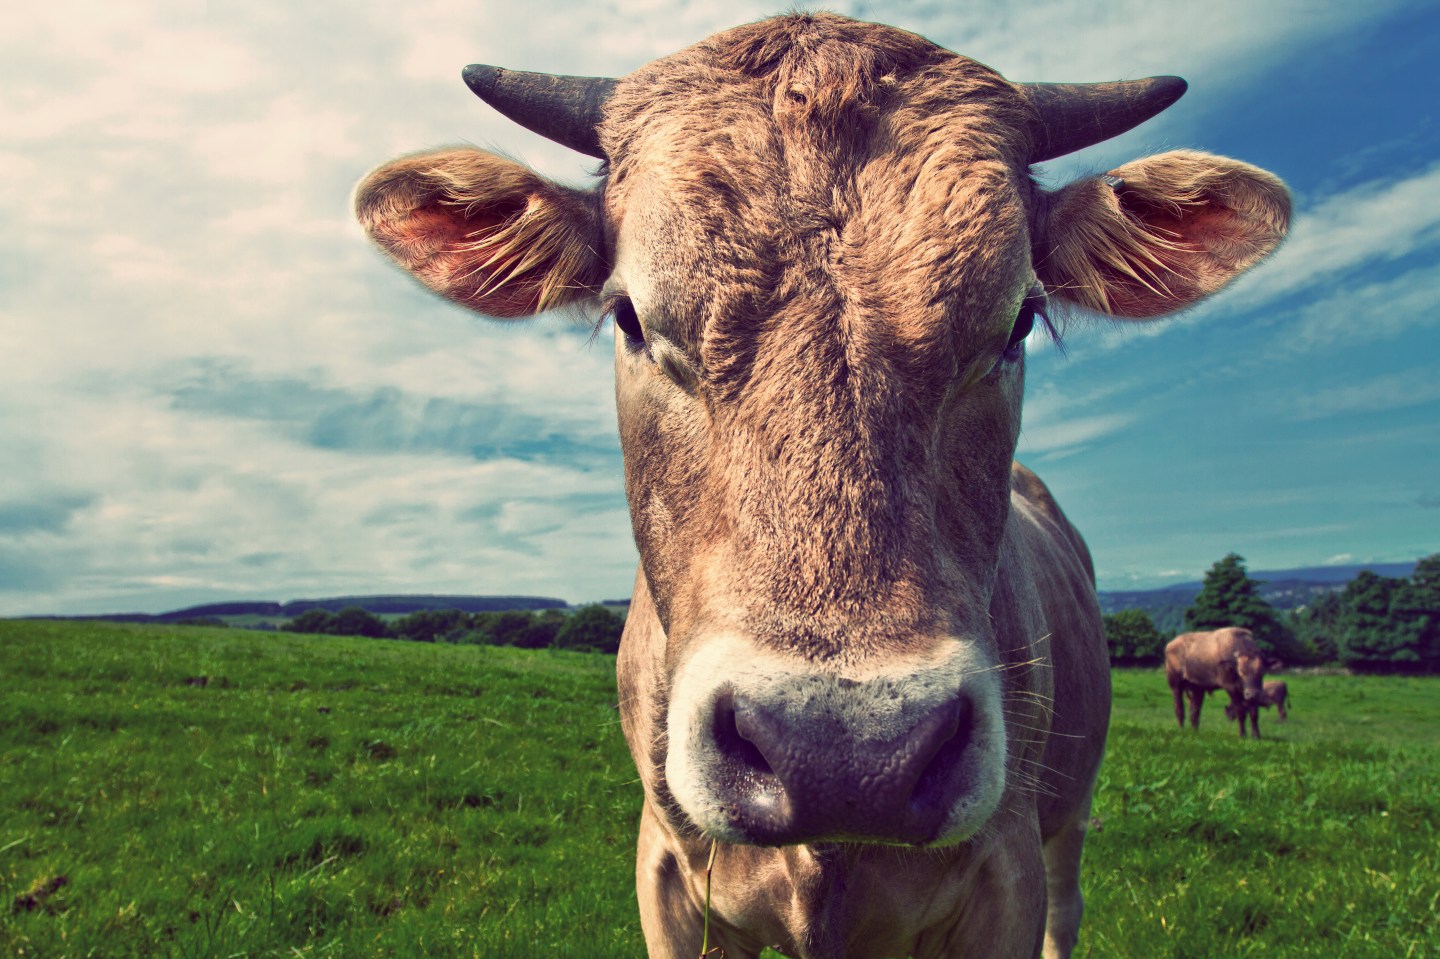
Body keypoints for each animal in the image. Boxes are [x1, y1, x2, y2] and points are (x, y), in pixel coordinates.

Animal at [354, 13, 1289, 958]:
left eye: (1019, 319)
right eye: (628, 316)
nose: (847, 754)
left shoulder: (1010, 873)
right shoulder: (668, 875)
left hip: (1071, 816)